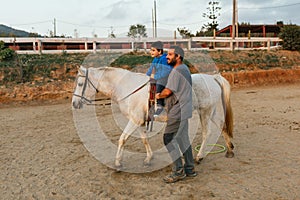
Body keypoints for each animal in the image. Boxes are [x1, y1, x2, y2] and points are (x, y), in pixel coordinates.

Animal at [71, 66, 233, 168]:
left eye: (80, 83)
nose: (74, 103)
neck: (128, 87)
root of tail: (212, 78)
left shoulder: (134, 120)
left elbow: (122, 139)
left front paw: (118, 162)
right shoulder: (140, 121)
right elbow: (144, 139)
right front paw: (149, 158)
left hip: (205, 112)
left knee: (207, 133)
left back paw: (199, 156)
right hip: (210, 112)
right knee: (222, 125)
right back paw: (230, 150)